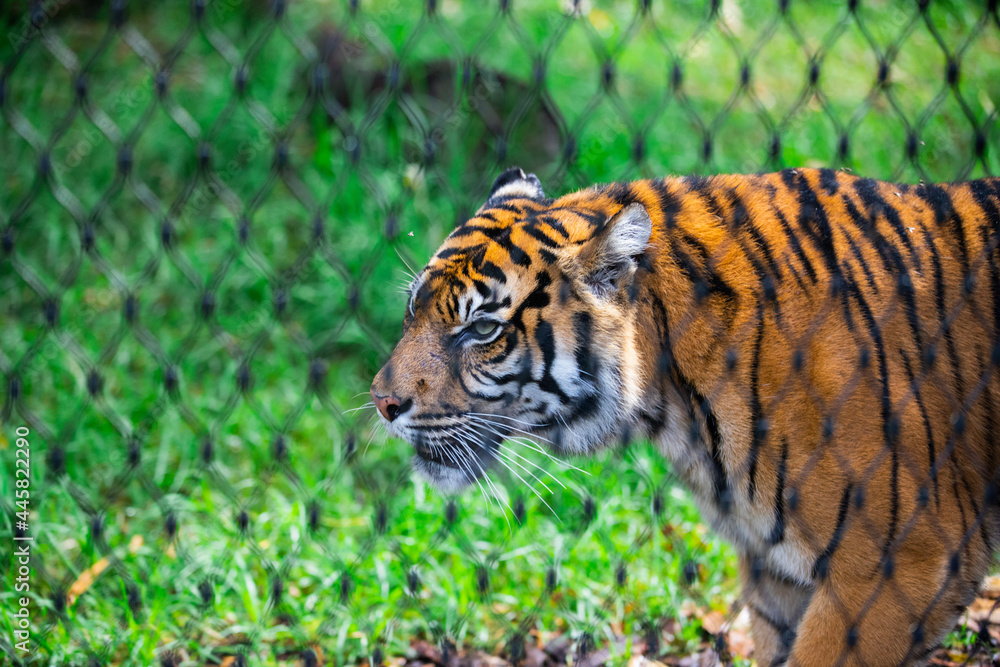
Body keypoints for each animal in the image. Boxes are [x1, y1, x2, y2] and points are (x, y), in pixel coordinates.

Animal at [370, 166, 1000, 665]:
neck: (677, 403)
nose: (382, 402)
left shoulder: (899, 564)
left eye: (481, 329)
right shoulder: (777, 575)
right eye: (413, 308)